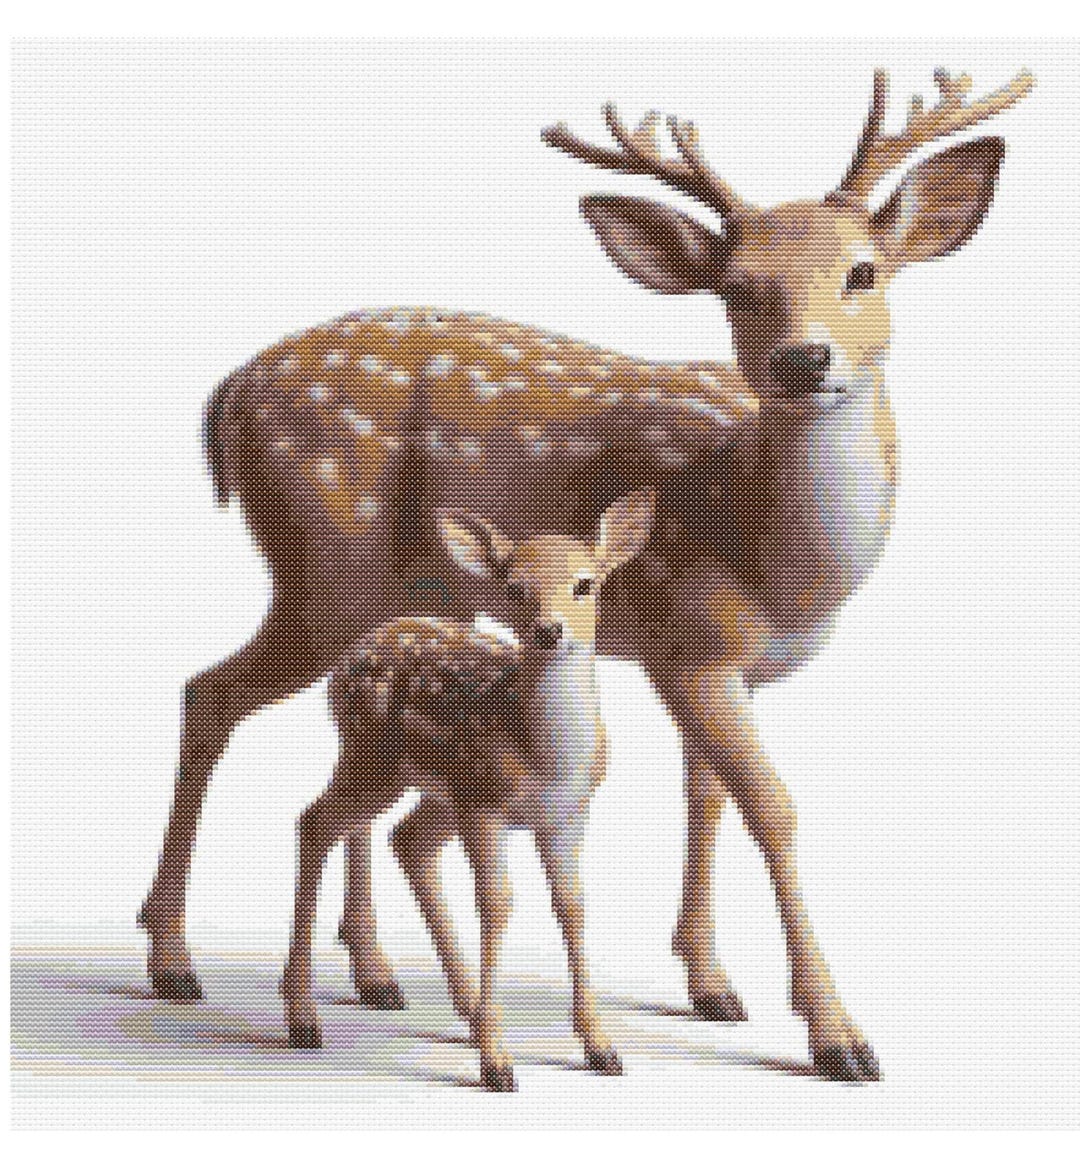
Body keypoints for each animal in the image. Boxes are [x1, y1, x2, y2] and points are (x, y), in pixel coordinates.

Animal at [281, 491, 655, 1091]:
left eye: (585, 583)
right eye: (514, 589)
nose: (550, 630)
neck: (546, 758)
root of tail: (342, 666)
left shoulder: (566, 814)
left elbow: (572, 904)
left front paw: (602, 1049)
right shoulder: (486, 804)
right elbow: (498, 903)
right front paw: (497, 1063)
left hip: (436, 789)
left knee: (405, 840)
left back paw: (465, 1008)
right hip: (378, 761)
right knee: (316, 822)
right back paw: (303, 1018)